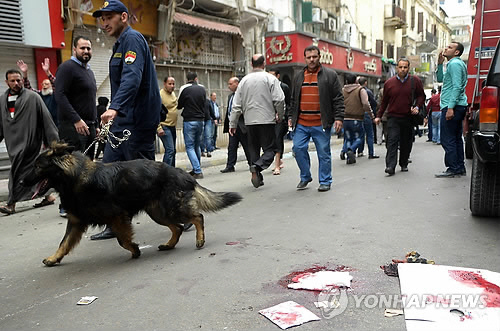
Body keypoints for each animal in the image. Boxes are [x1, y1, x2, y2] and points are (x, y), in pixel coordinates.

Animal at [23, 143, 242, 268]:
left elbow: (122, 239)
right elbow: (64, 243)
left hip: (171, 208)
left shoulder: (117, 216)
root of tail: (184, 173)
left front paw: (135, 249)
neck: (74, 178)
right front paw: (54, 258)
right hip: (158, 212)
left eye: (38, 166)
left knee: (197, 217)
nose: (21, 182)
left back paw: (199, 239)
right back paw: (169, 245)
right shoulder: (76, 222)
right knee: (178, 228)